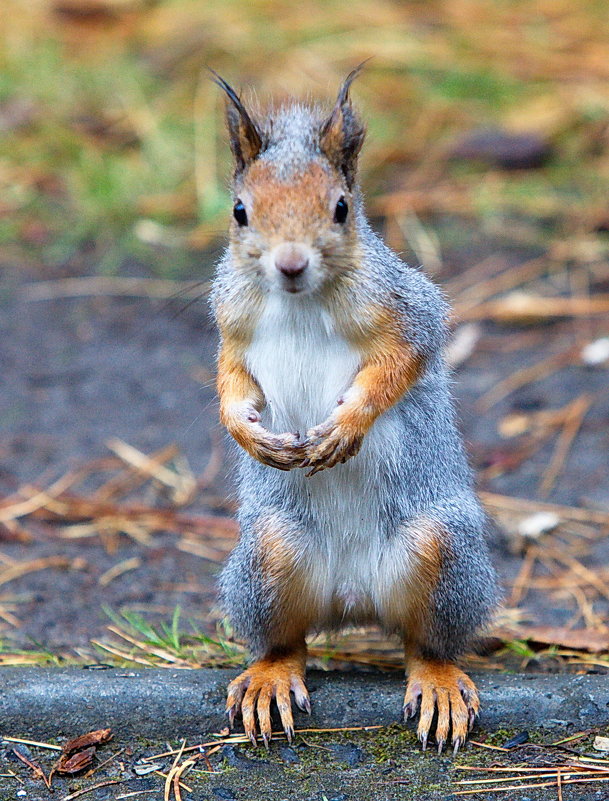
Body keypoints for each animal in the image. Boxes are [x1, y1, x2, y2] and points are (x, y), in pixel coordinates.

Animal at [211, 65, 496, 752]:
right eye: (240, 212)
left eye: (340, 207)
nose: (290, 264)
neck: (299, 301)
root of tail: (354, 601)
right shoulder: (231, 320)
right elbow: (230, 377)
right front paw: (245, 432)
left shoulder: (406, 308)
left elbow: (401, 362)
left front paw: (346, 426)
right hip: (267, 556)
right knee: (286, 642)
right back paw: (269, 678)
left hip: (443, 552)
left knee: (427, 644)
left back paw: (439, 683)